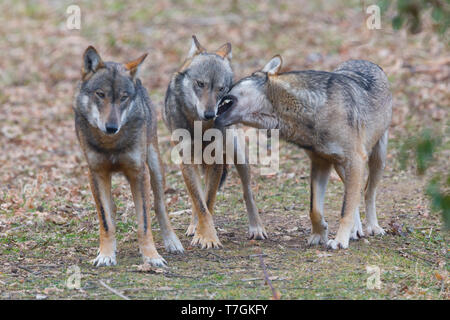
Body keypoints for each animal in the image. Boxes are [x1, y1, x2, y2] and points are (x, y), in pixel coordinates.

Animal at [74, 46, 183, 266]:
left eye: (123, 97)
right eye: (100, 94)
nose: (111, 127)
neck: (111, 143)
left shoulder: (138, 173)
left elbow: (144, 223)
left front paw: (152, 257)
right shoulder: (96, 173)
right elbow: (106, 221)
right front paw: (106, 255)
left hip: (155, 166)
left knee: (159, 206)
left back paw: (172, 242)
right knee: (112, 209)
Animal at [216, 56, 392, 249]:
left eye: (230, 85)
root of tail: (364, 61)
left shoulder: (355, 161)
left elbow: (345, 208)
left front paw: (339, 241)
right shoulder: (320, 163)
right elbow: (315, 209)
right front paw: (319, 234)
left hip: (376, 160)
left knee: (368, 192)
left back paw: (373, 227)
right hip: (341, 167)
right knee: (356, 193)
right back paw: (356, 230)